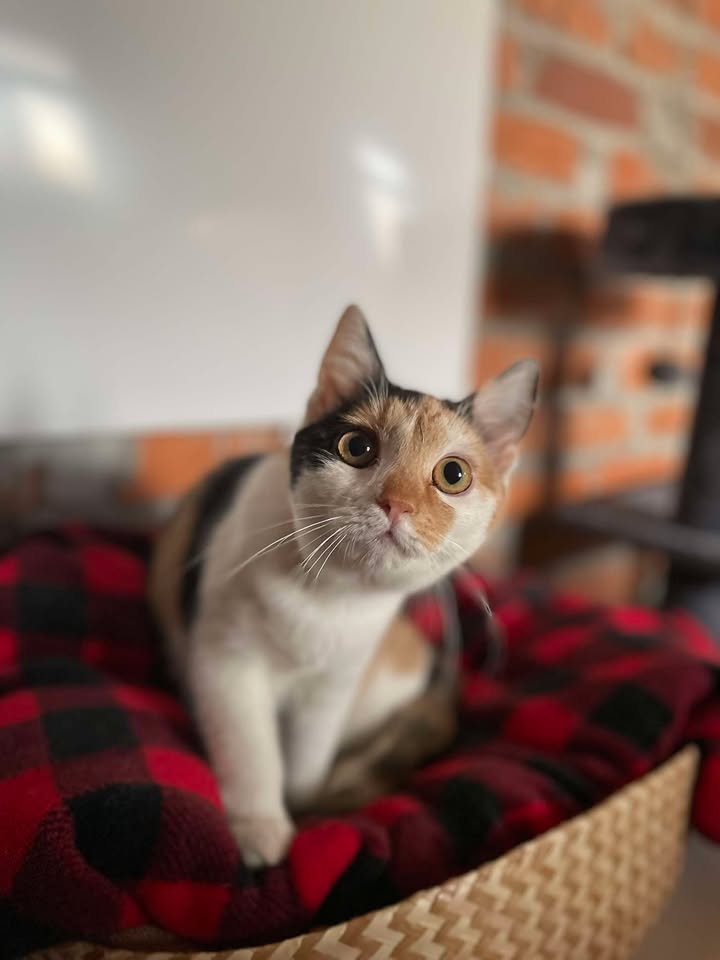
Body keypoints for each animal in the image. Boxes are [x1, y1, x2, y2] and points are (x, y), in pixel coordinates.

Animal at [148, 305, 538, 867]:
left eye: (454, 474)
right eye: (357, 446)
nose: (397, 503)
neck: (326, 599)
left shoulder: (334, 686)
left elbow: (308, 756)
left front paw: (303, 804)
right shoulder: (225, 663)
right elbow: (249, 748)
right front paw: (261, 827)